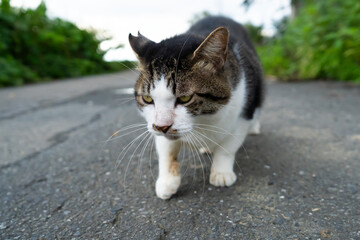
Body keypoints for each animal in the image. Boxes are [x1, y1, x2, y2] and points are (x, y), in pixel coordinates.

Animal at [128, 15, 262, 199]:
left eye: (185, 98)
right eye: (148, 98)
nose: (162, 126)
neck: (203, 121)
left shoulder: (243, 114)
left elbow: (228, 147)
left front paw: (221, 172)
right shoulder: (154, 125)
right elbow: (166, 151)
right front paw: (167, 181)